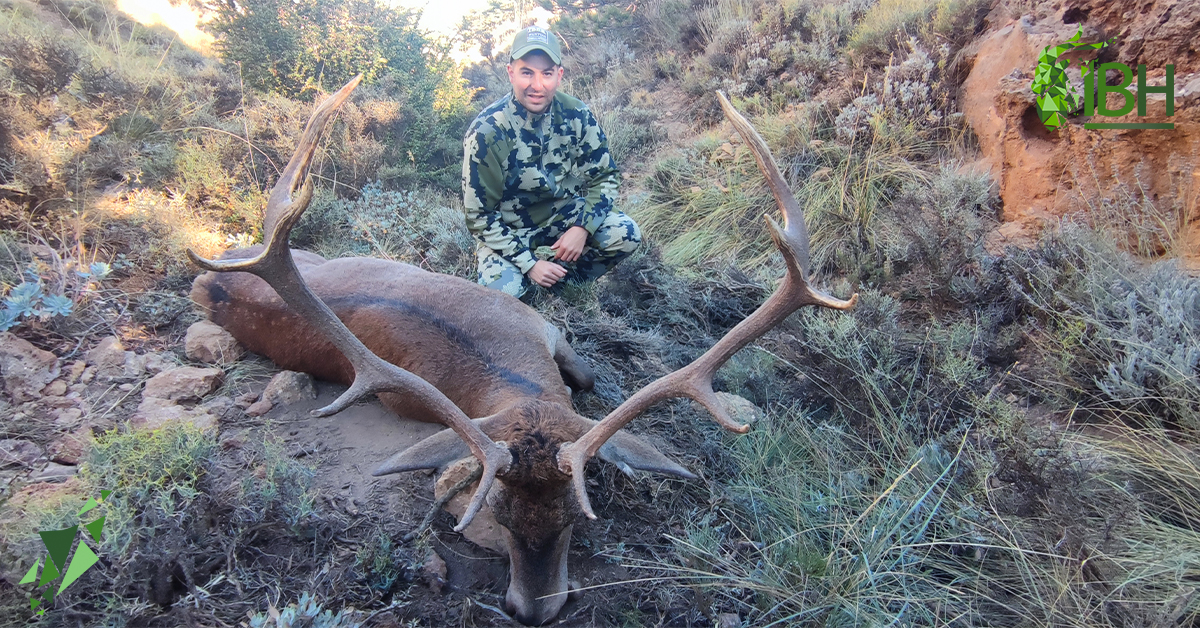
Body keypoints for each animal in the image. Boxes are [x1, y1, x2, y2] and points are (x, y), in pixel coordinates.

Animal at [188, 75, 858, 625]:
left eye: (575, 519)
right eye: (500, 517)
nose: (534, 611)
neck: (513, 370)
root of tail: (210, 274)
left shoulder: (546, 329)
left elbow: (587, 379)